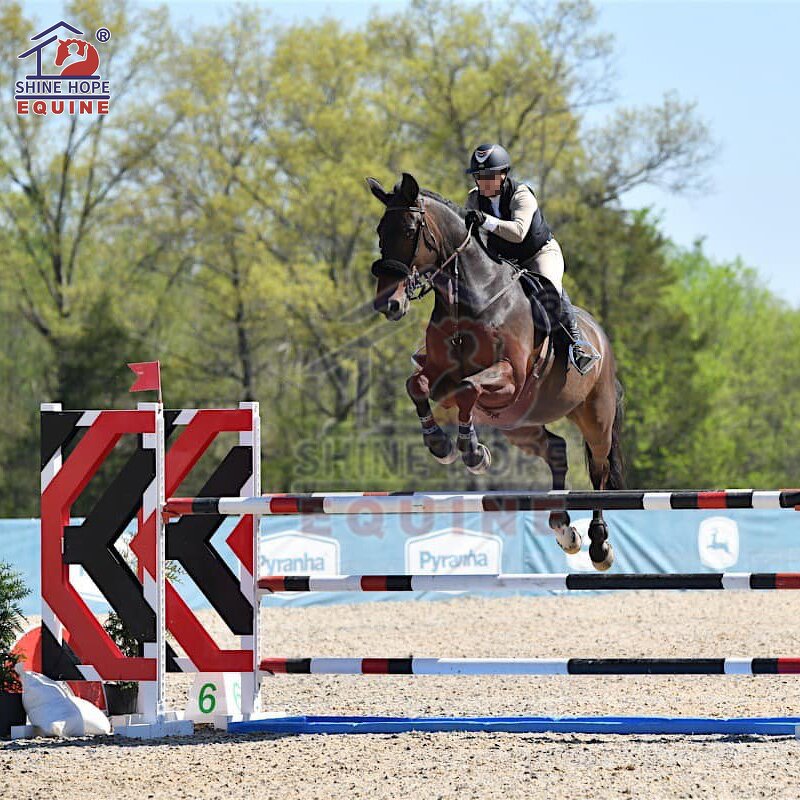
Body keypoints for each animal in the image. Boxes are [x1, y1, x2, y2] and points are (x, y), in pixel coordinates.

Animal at [367, 172, 624, 570]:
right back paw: (563, 527)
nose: (388, 304)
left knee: (599, 469)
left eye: (409, 231)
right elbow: (418, 384)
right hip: (518, 424)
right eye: (381, 231)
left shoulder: (509, 376)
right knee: (556, 449)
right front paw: (440, 445)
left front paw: (472, 452)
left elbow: (468, 388)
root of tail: (600, 336)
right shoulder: (441, 375)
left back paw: (598, 545)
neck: (470, 300)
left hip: (595, 416)